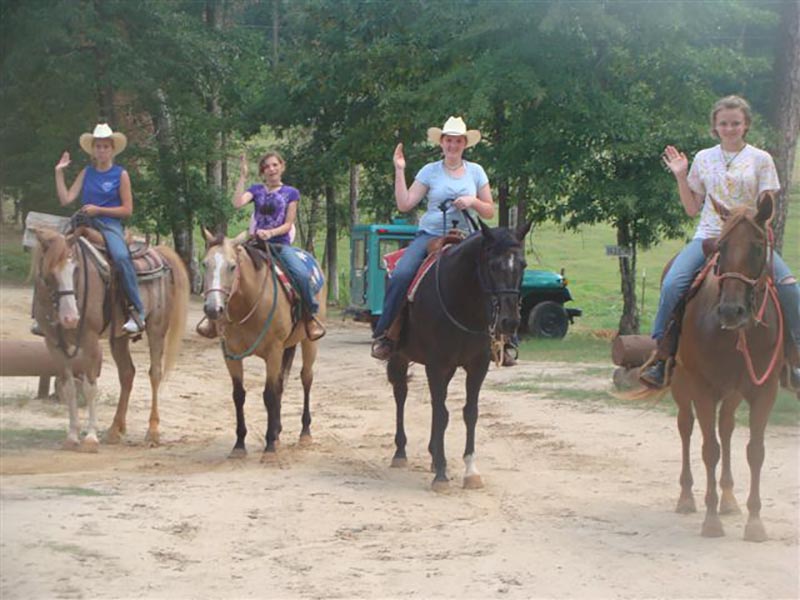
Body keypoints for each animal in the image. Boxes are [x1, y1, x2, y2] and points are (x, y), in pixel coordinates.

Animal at [30, 226, 190, 450]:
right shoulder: (54, 344)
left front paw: (90, 438)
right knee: (127, 374)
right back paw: (115, 430)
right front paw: (72, 436)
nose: (70, 318)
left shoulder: (89, 341)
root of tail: (159, 252)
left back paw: (152, 432)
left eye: (76, 269)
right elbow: (69, 388)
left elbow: (89, 388)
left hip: (156, 330)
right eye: (49, 272)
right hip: (119, 338)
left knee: (155, 374)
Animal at [200, 232, 324, 458]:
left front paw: (270, 446)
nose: (213, 309)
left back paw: (304, 433)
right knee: (282, 384)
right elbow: (239, 395)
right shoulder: (230, 354)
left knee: (306, 379)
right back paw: (278, 432)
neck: (248, 303)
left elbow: (269, 395)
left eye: (232, 266)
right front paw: (239, 444)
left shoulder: (273, 351)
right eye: (205, 264)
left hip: (308, 343)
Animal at [388, 218, 532, 490]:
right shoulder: (436, 364)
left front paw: (470, 471)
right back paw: (400, 453)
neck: (465, 304)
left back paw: (433, 455)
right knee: (401, 394)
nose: (509, 321)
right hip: (399, 356)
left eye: (522, 264)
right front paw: (441, 475)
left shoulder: (477, 366)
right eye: (492, 265)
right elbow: (442, 413)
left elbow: (469, 413)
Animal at [640, 195, 784, 540]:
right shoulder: (703, 389)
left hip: (732, 394)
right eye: (721, 246)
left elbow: (755, 451)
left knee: (727, 427)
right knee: (686, 427)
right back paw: (686, 498)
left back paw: (730, 499)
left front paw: (754, 522)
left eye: (757, 246)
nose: (731, 311)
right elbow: (710, 450)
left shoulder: (764, 390)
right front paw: (711, 520)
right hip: (682, 386)